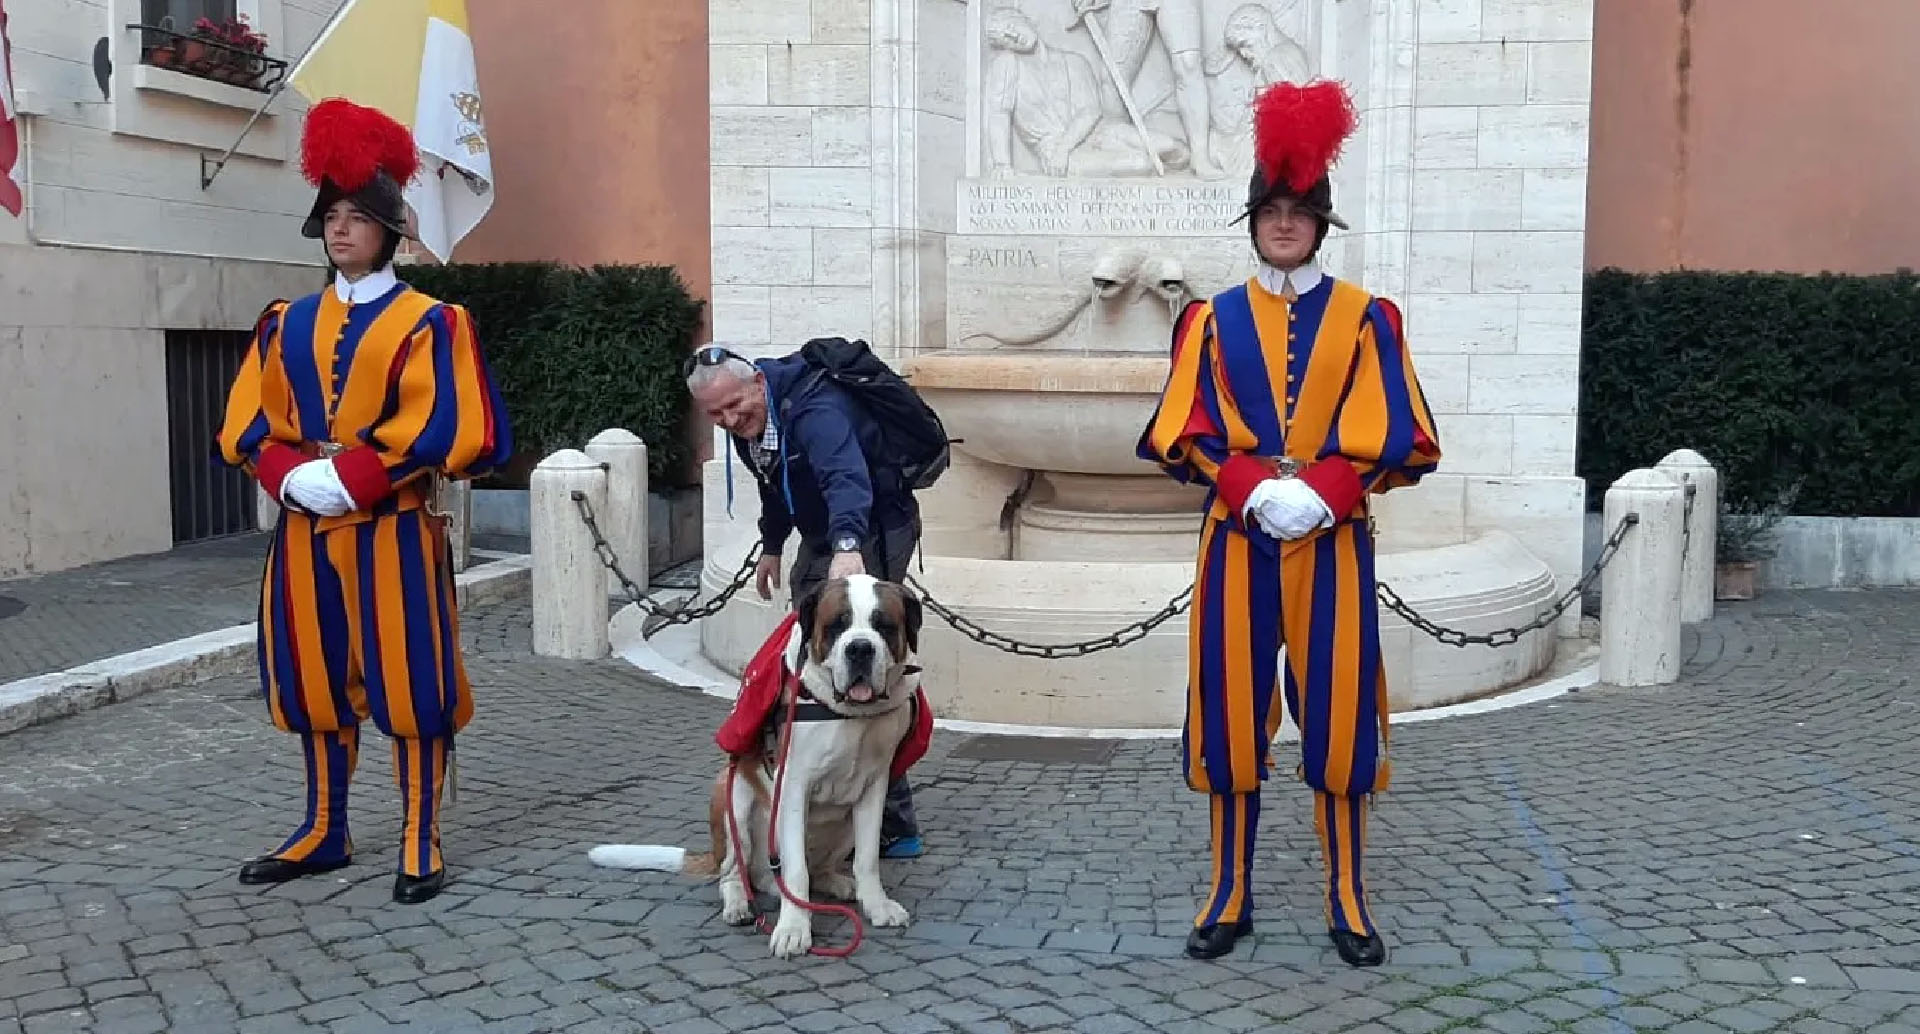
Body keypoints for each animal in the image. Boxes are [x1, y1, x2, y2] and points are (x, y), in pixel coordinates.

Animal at [583, 575, 921, 963]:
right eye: (837, 624)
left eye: (884, 625)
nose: (861, 649)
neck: (851, 715)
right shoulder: (793, 785)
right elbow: (795, 870)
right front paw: (794, 929)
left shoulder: (874, 786)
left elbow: (866, 859)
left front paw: (877, 905)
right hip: (733, 801)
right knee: (734, 874)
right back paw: (739, 905)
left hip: (842, 825)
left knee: (817, 868)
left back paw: (837, 882)